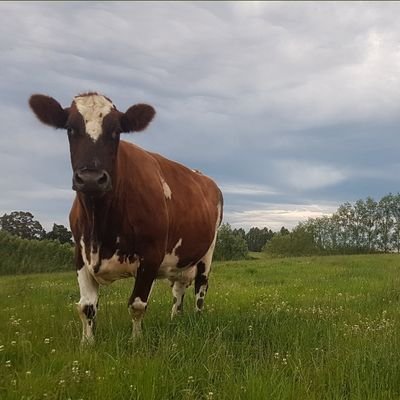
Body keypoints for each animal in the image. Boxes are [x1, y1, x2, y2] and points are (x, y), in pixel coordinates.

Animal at [29, 91, 223, 344]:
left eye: (116, 131)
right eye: (70, 129)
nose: (90, 179)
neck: (100, 224)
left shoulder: (152, 255)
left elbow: (137, 304)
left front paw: (136, 341)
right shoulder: (80, 254)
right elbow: (87, 306)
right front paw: (87, 343)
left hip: (207, 253)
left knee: (200, 289)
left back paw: (197, 320)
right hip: (180, 260)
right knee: (178, 289)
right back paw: (175, 320)